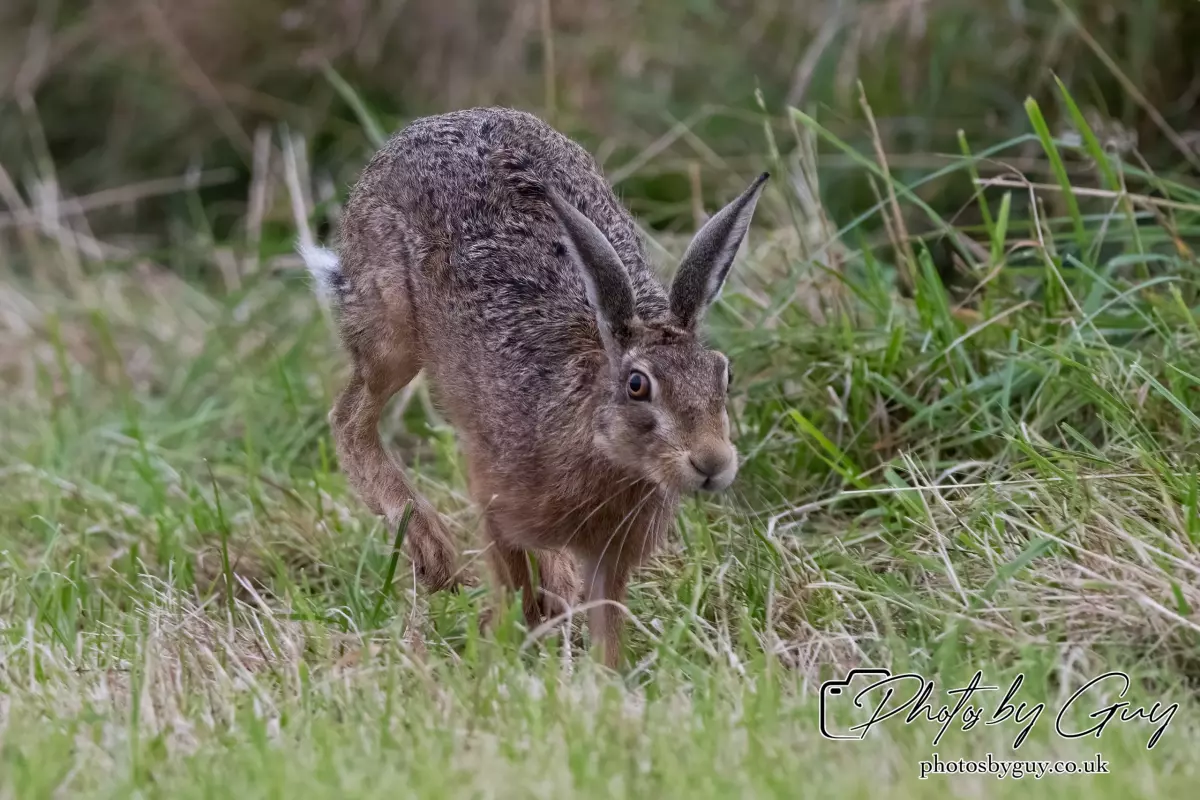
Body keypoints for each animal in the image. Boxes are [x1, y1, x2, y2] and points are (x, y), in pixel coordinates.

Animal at [302, 107, 766, 668]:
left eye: (724, 374)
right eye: (637, 385)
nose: (713, 462)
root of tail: (433, 124)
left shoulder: (610, 554)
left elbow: (605, 618)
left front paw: (603, 672)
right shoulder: (494, 495)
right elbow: (512, 578)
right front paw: (516, 645)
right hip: (391, 329)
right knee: (350, 418)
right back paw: (436, 555)